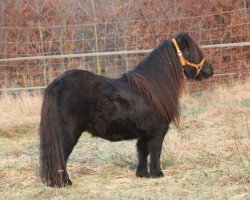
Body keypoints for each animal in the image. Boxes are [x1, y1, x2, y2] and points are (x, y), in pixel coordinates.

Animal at [39, 32, 213, 187]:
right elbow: (155, 151)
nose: (211, 68)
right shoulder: (158, 132)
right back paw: (65, 183)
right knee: (61, 155)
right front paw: (157, 174)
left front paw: (142, 175)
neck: (151, 90)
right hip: (69, 133)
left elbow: (142, 152)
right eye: (192, 51)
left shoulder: (144, 134)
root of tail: (56, 84)